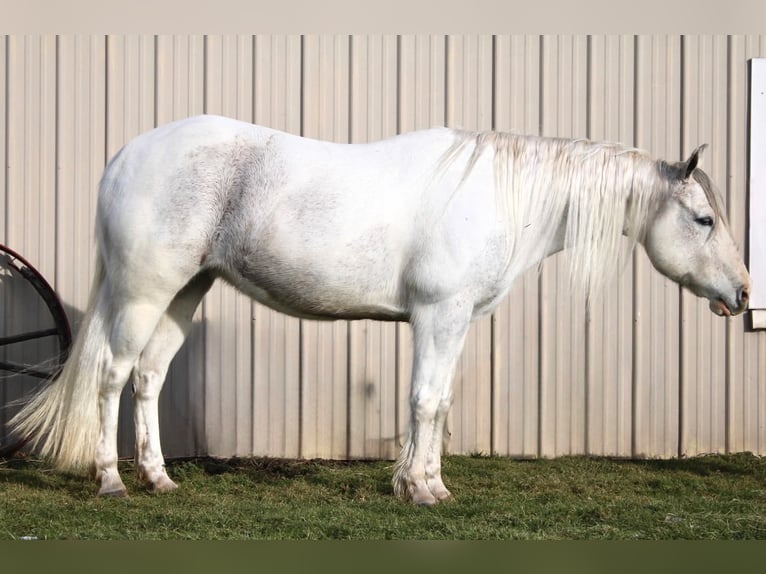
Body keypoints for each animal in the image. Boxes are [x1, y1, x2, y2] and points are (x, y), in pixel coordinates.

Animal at [7, 115, 752, 506]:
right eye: (704, 218)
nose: (744, 295)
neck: (497, 196)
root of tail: (127, 155)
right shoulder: (436, 315)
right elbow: (422, 401)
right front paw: (418, 489)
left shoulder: (456, 322)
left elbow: (441, 404)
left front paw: (433, 486)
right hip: (143, 291)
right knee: (111, 376)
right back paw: (110, 480)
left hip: (185, 294)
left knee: (148, 379)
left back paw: (159, 478)